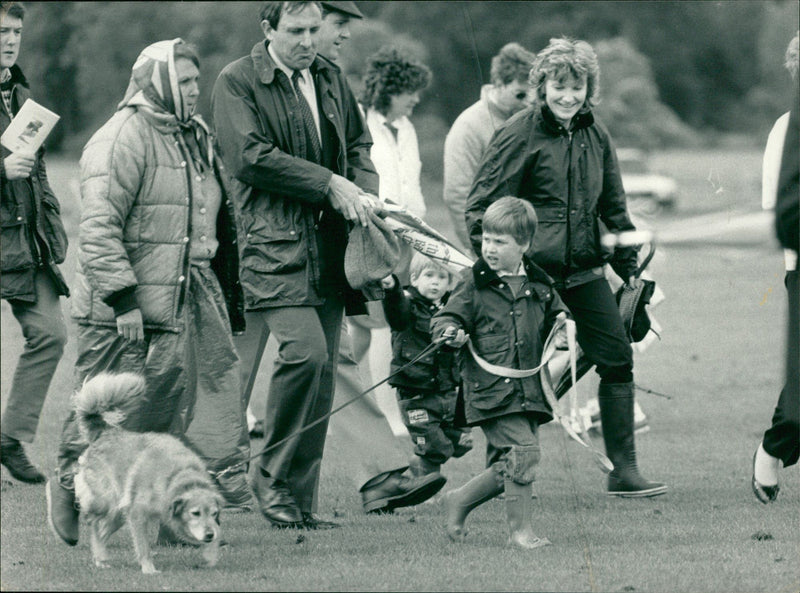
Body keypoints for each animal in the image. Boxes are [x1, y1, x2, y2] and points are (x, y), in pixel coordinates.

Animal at [72, 372, 222, 572]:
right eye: (195, 513)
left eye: (214, 513)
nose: (209, 535)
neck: (176, 476)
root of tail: (105, 432)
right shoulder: (137, 512)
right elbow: (142, 545)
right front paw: (149, 569)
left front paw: (211, 556)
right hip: (107, 502)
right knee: (95, 525)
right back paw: (101, 555)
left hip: (119, 512)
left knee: (102, 531)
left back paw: (100, 558)